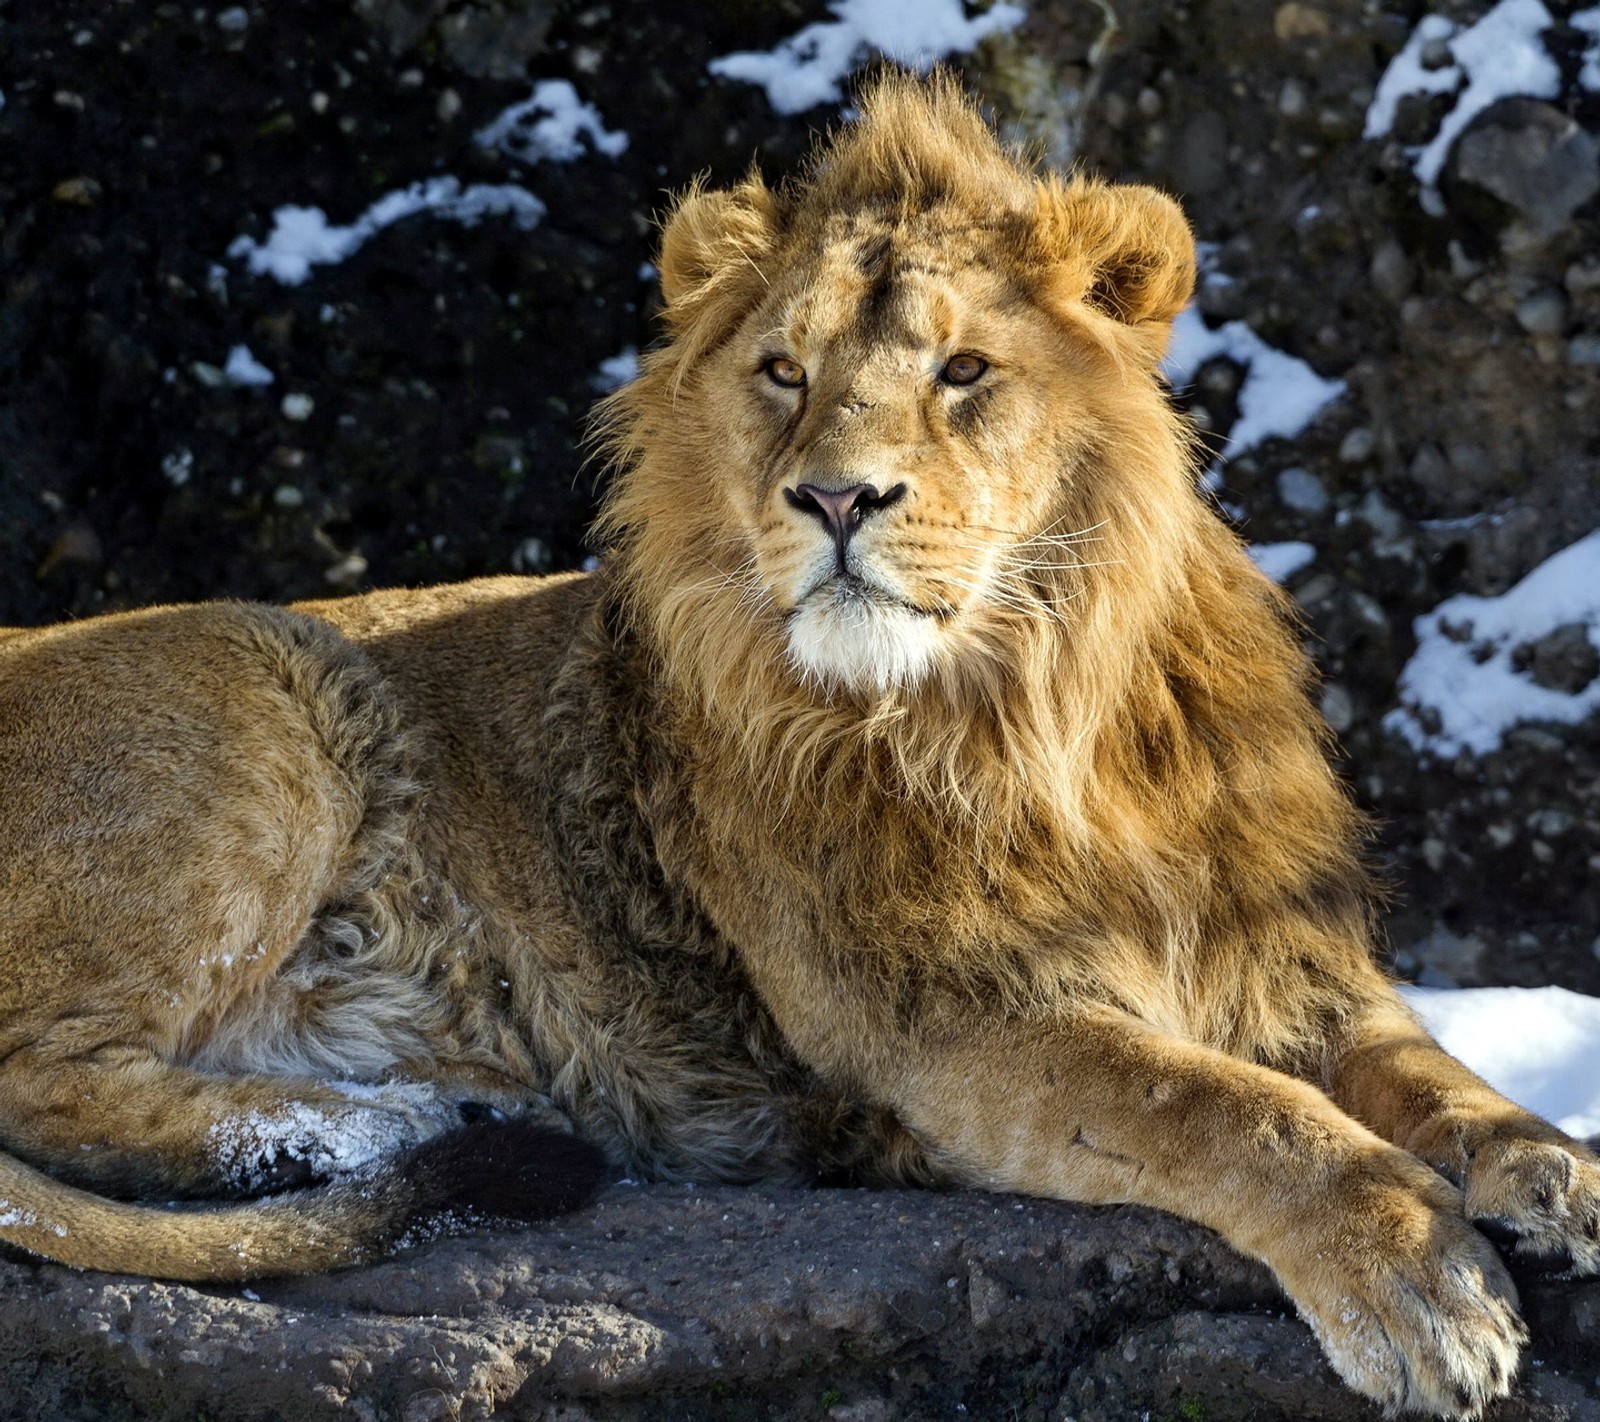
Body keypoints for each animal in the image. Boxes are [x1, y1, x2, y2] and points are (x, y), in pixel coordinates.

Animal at [3, 69, 1600, 1420]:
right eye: (782, 371)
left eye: (962, 371)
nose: (837, 498)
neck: (1032, 714)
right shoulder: (937, 1018)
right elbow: (1221, 1106)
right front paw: (1418, 1274)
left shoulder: (1287, 959)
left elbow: (1426, 1072)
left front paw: (1553, 1174)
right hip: (257, 704)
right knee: (45, 1089)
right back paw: (413, 1114)